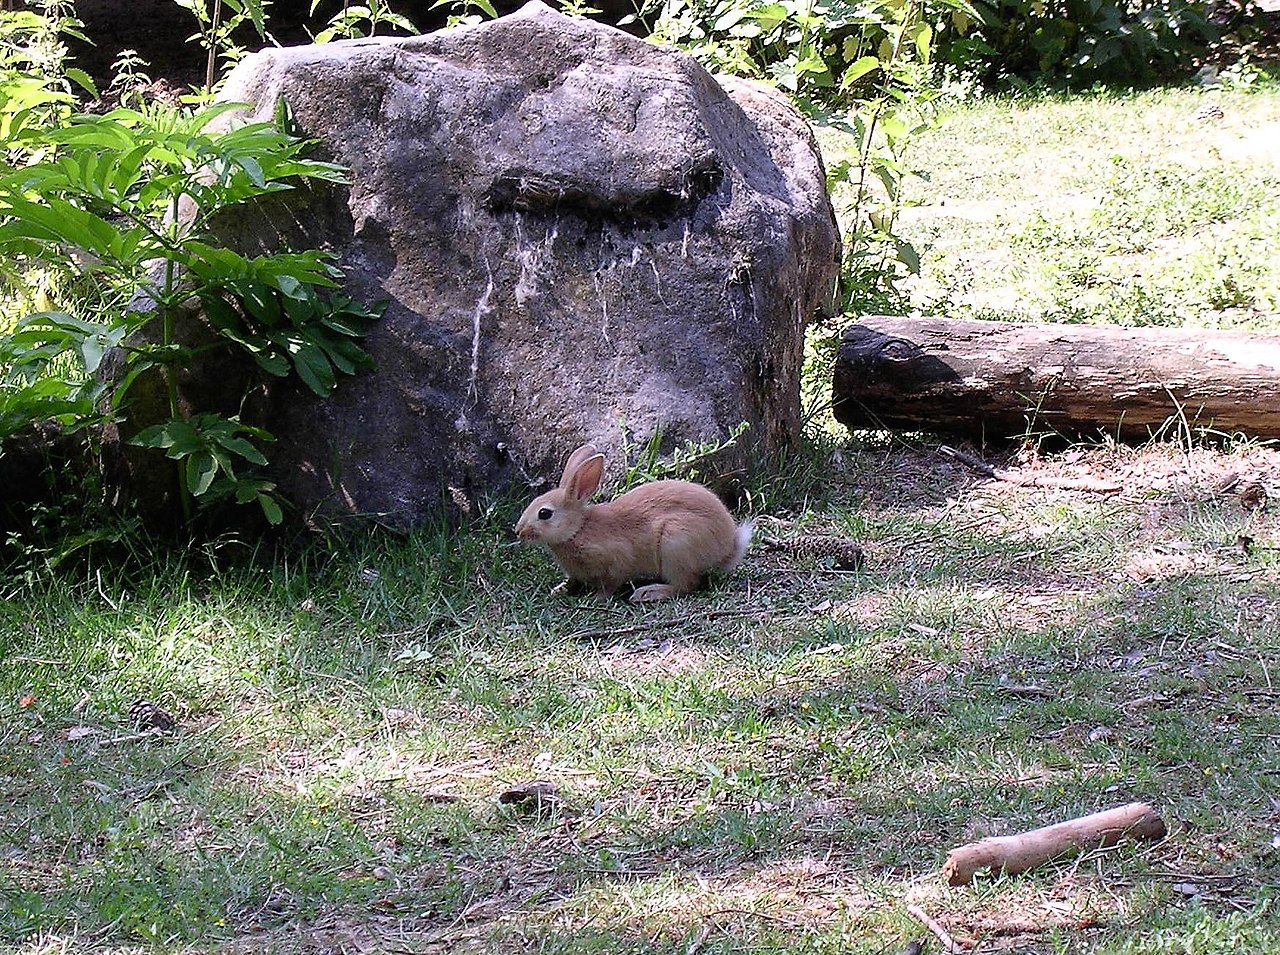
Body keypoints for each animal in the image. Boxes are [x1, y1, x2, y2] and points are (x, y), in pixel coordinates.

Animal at [515, 443, 753, 602]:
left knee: (687, 585)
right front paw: (560, 589)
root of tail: (726, 548)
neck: (578, 529)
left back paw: (647, 593)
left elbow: (611, 583)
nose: (519, 531)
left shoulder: (616, 560)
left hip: (675, 545)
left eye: (545, 513)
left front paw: (596, 597)